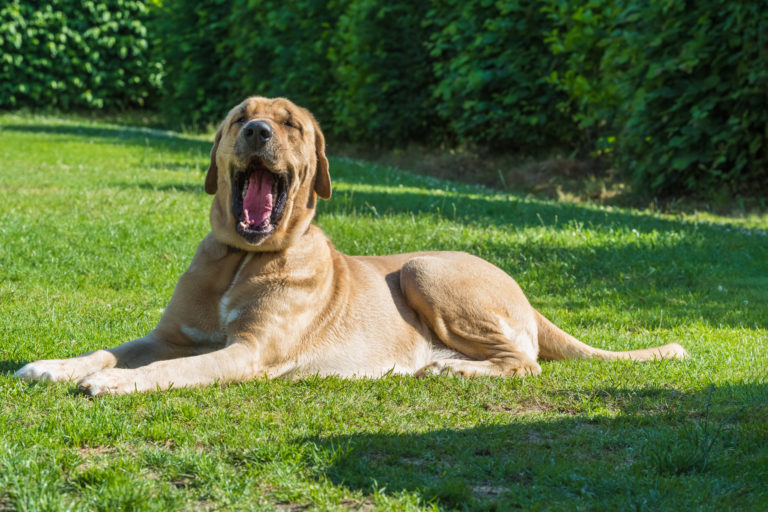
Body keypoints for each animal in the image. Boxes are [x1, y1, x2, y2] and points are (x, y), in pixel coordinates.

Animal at [13, 97, 688, 396]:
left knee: (525, 358)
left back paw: (457, 367)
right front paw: (55, 365)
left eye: (290, 125)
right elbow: (109, 349)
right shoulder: (167, 334)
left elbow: (177, 369)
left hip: (424, 270)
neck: (242, 259)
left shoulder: (248, 351)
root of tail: (524, 293)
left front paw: (117, 384)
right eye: (238, 119)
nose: (257, 132)